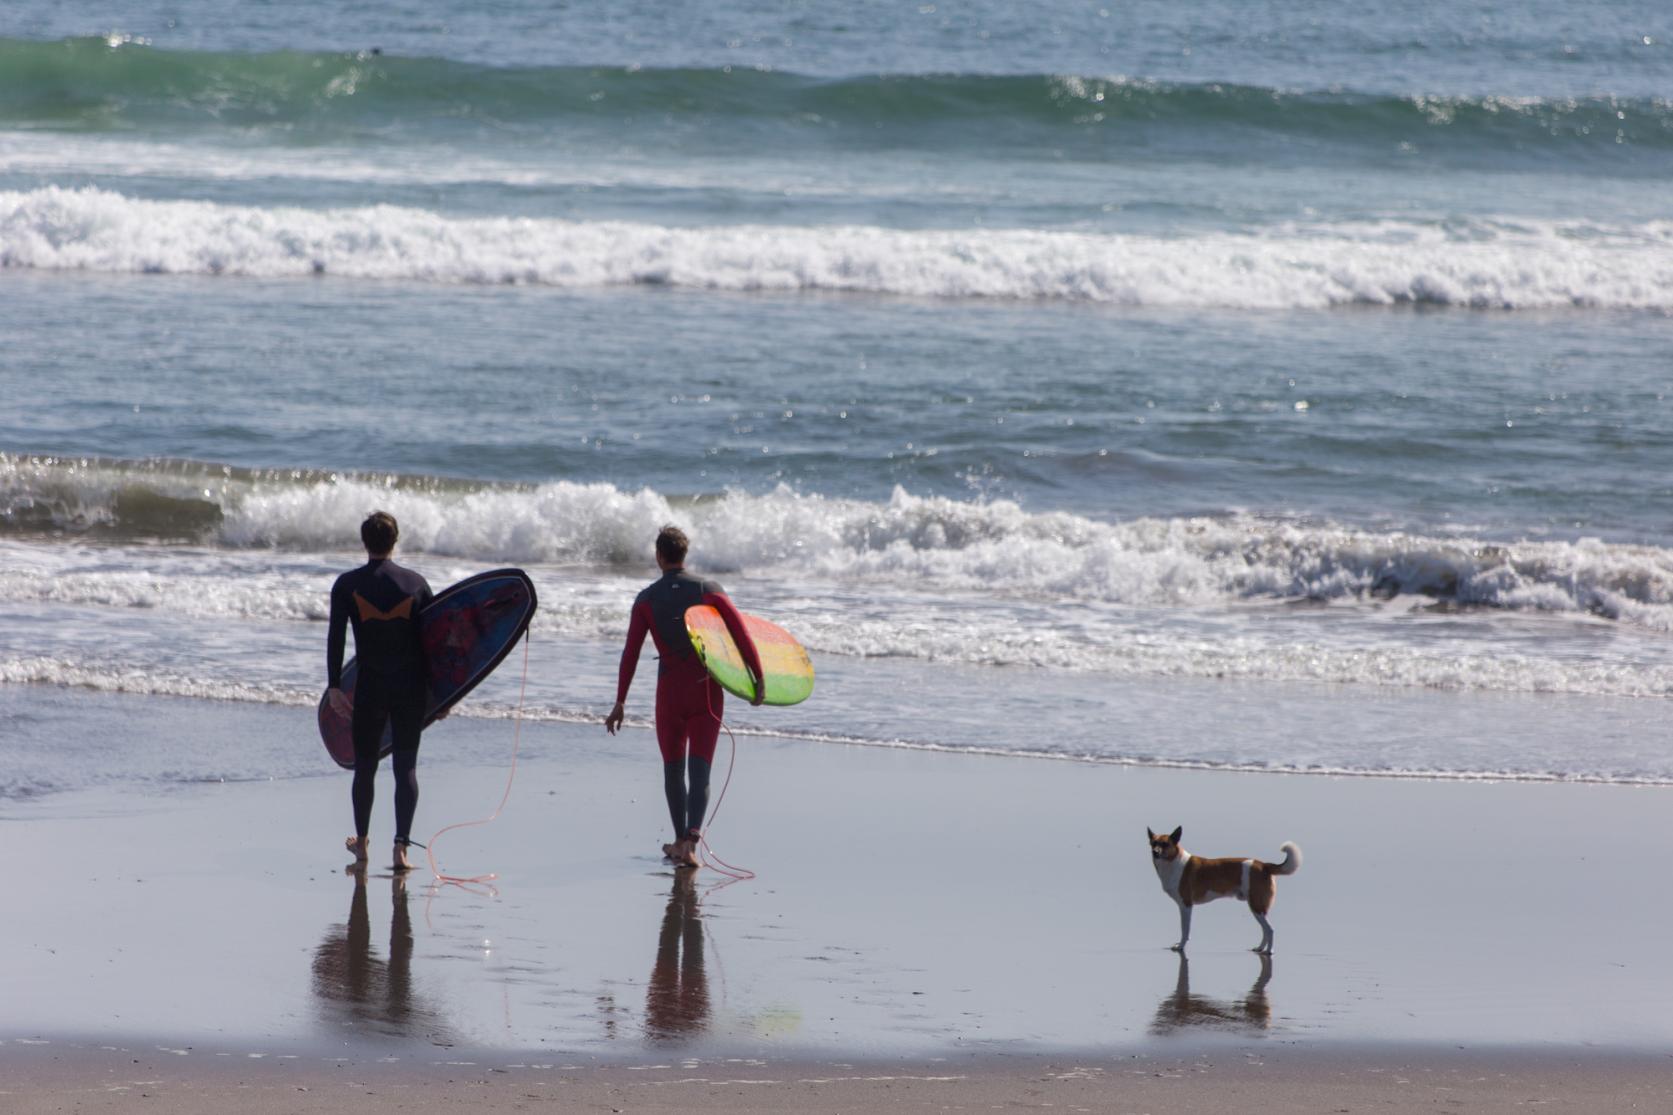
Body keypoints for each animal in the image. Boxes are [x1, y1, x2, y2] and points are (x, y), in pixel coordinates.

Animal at [1151, 820, 1304, 950]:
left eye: (1165, 844)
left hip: (1257, 906)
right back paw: (1260, 948)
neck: (1173, 862)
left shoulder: (1186, 906)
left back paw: (1269, 951)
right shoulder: (1184, 907)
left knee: (1270, 930)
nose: (1155, 852)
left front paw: (1181, 946)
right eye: (1153, 843)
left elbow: (1185, 929)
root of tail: (1264, 865)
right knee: (1265, 930)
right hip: (1256, 908)